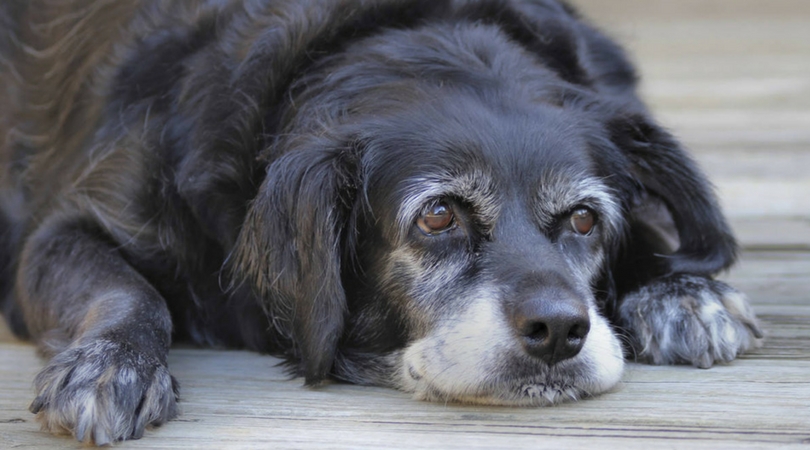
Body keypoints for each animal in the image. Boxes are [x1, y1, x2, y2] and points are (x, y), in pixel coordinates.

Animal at [0, 0, 760, 444]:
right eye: (438, 215)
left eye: (582, 219)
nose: (560, 331)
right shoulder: (63, 231)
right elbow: (129, 290)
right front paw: (112, 365)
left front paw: (679, 290)